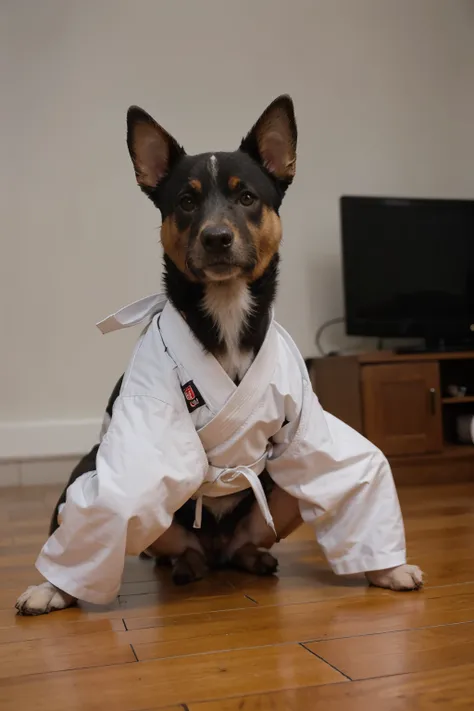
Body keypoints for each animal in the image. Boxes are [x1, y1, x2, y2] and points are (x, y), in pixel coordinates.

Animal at [15, 96, 422, 616]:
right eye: (186, 203)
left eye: (246, 197)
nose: (216, 237)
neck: (226, 313)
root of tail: (216, 551)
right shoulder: (149, 414)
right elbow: (116, 501)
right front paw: (55, 587)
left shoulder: (303, 418)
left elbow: (340, 469)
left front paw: (387, 568)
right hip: (105, 480)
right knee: (170, 542)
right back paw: (184, 565)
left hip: (275, 495)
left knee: (248, 539)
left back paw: (250, 557)